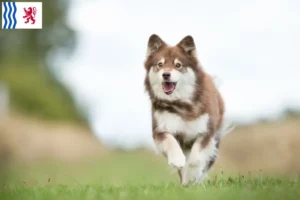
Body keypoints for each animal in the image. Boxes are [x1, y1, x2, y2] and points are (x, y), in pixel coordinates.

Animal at [144, 34, 233, 186]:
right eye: (160, 64)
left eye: (178, 65)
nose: (166, 74)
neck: (181, 104)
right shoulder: (160, 130)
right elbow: (171, 143)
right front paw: (177, 160)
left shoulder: (205, 132)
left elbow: (196, 159)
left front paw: (192, 176)